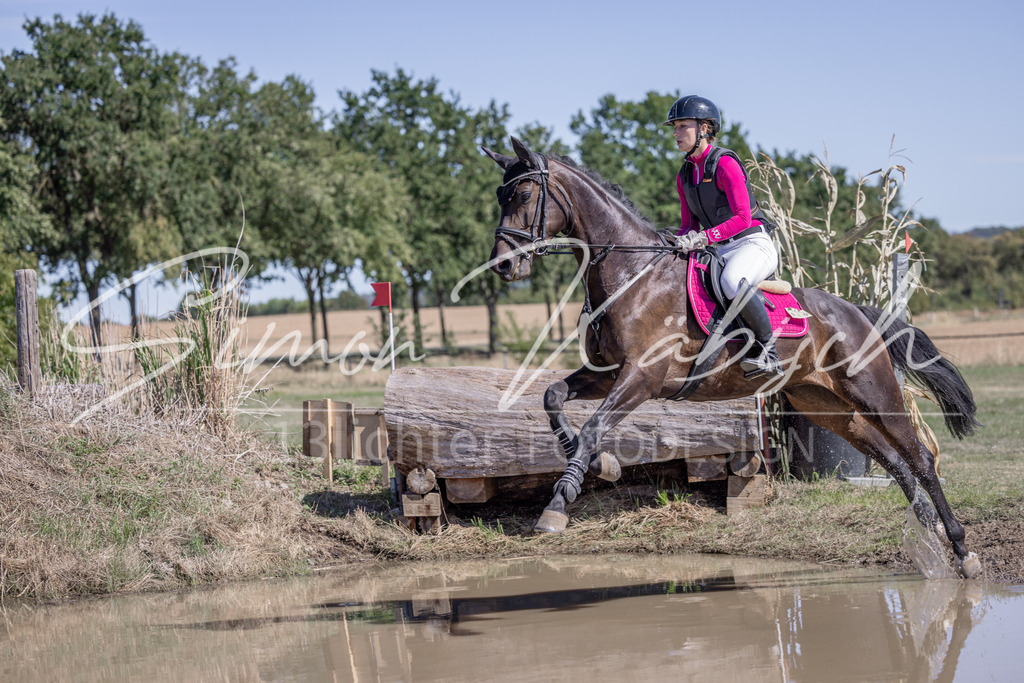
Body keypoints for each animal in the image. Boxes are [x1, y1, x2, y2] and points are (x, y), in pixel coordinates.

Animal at [481, 137, 983, 579]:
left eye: (523, 194)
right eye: (500, 195)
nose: (503, 266)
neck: (632, 274)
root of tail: (858, 311)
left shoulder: (641, 378)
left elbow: (592, 427)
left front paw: (557, 504)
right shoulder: (607, 374)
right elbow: (553, 397)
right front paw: (598, 465)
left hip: (873, 391)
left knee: (920, 457)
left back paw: (962, 551)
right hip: (825, 405)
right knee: (893, 459)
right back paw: (929, 530)